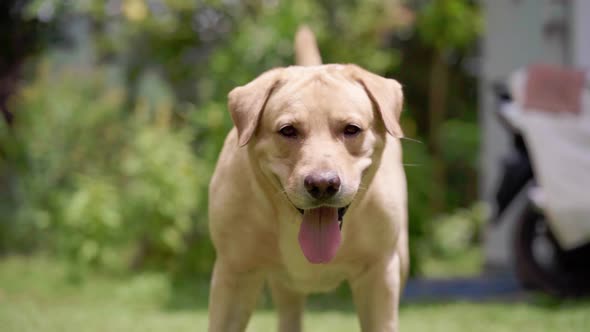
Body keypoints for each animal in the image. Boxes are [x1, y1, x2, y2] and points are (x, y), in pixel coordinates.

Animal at [210, 27, 410, 330]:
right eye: (288, 130)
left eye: (352, 129)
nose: (323, 184)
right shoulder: (234, 272)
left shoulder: (379, 274)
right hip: (284, 285)